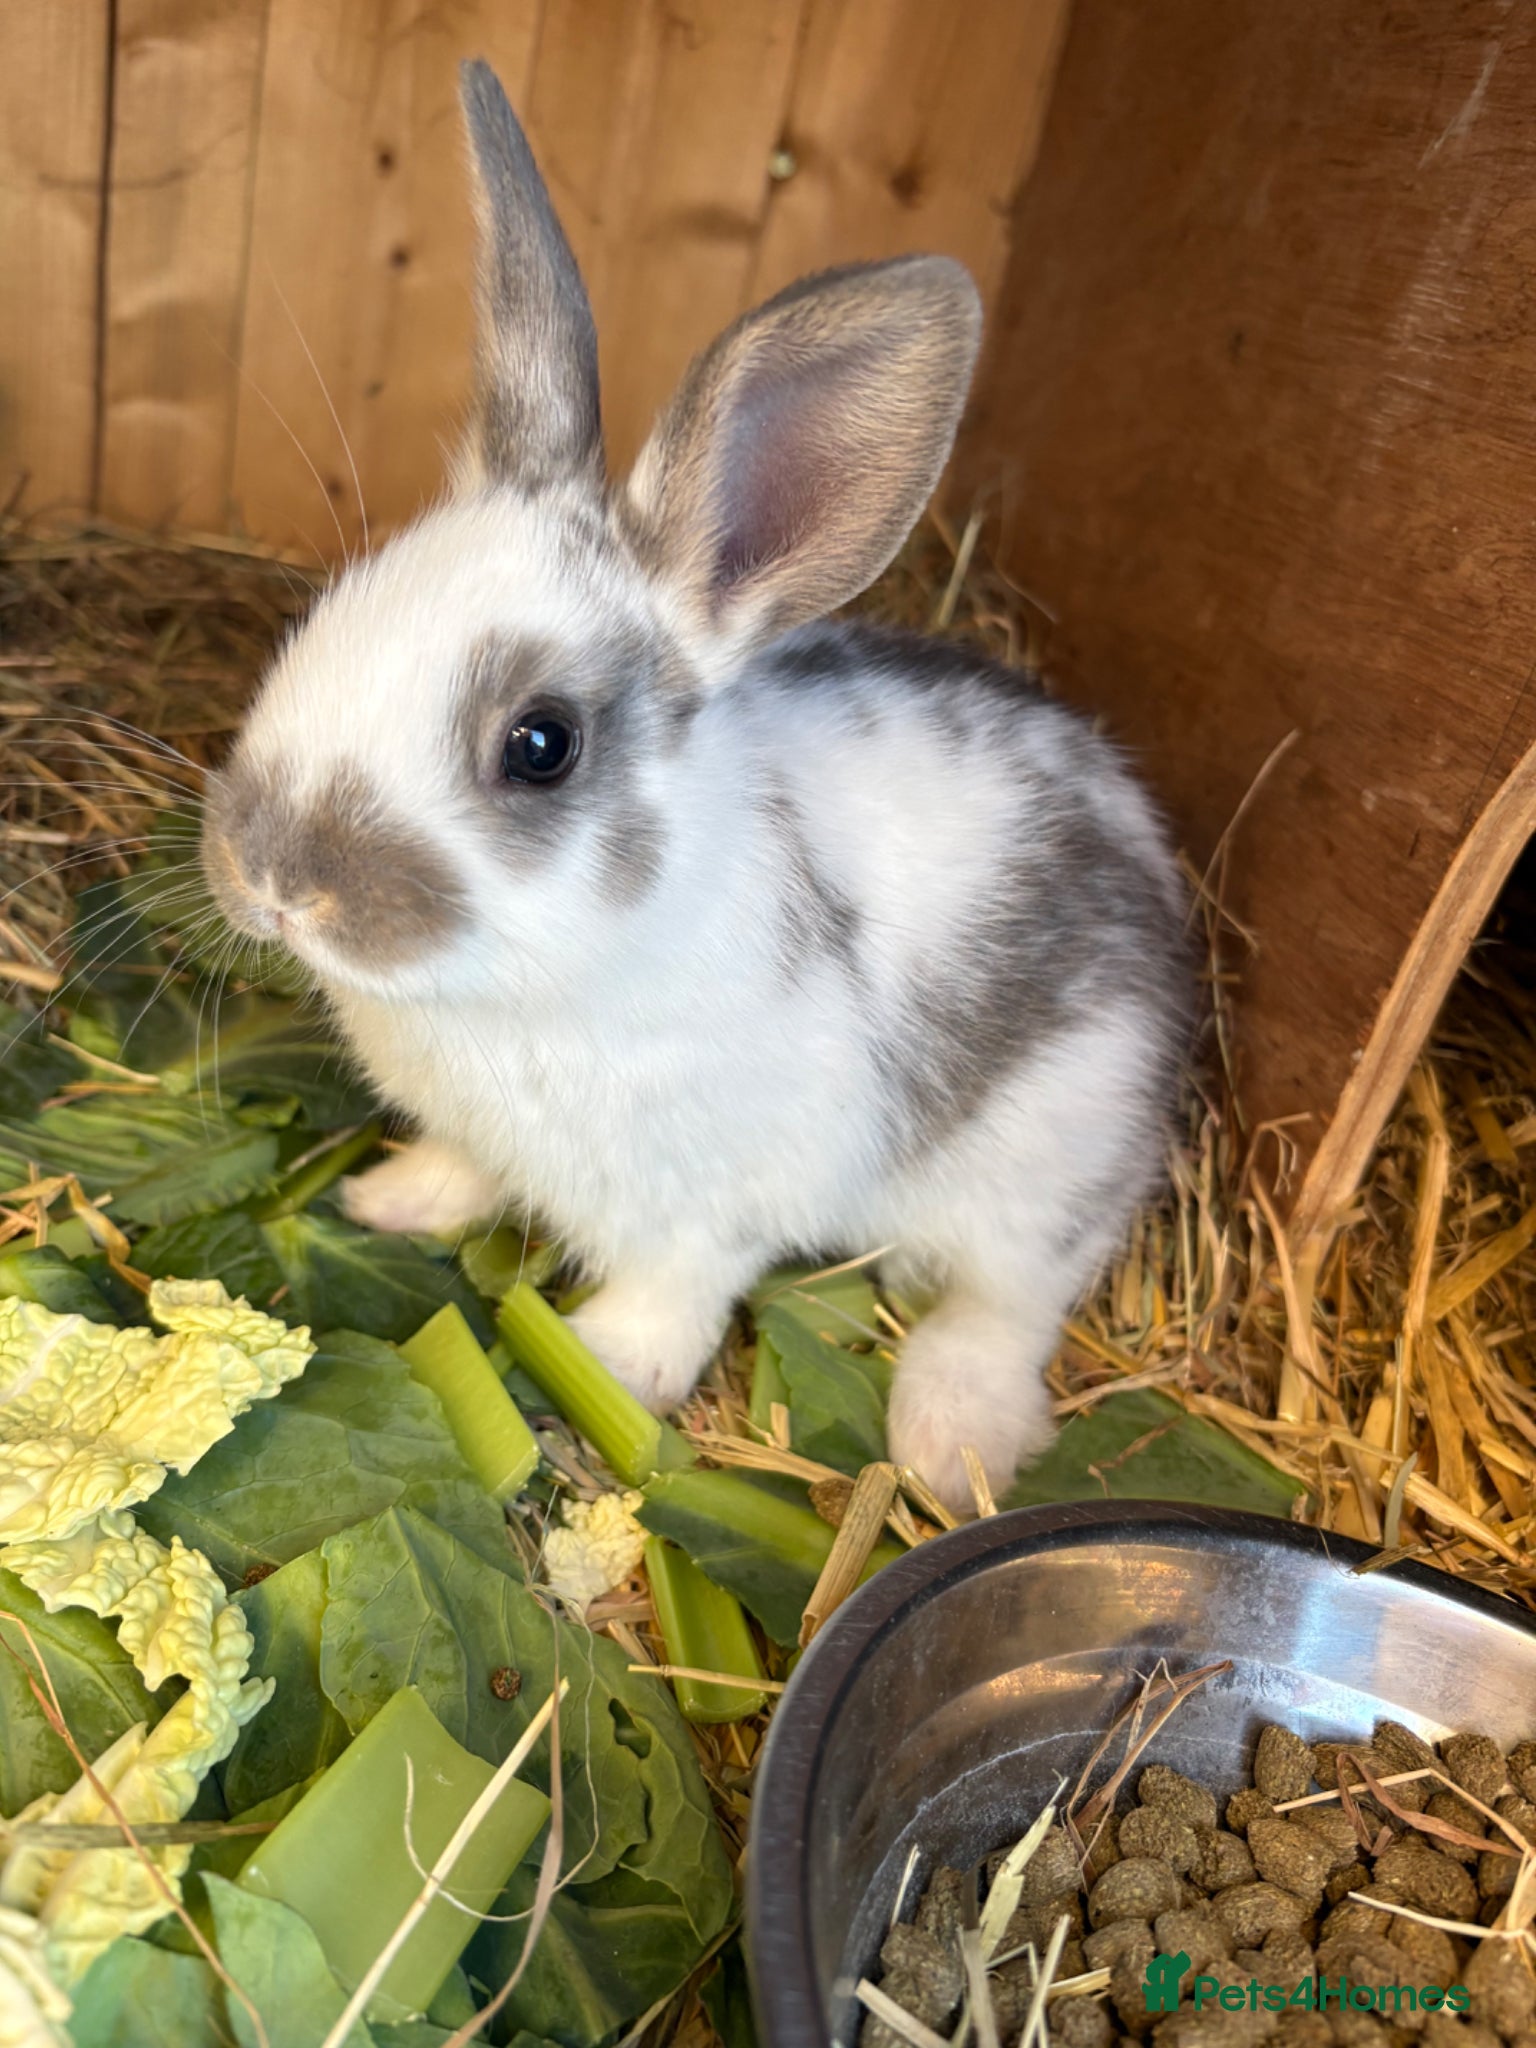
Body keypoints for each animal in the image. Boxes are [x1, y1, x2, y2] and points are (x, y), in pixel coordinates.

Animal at [201, 58, 1193, 1513]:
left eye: (540, 744)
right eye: (325, 613)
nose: (276, 881)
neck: (523, 991)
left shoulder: (719, 1202)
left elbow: (681, 1286)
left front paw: (608, 1370)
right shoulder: (481, 1130)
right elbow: (461, 1167)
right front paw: (392, 1201)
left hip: (1053, 1145)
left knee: (1008, 1303)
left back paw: (943, 1449)